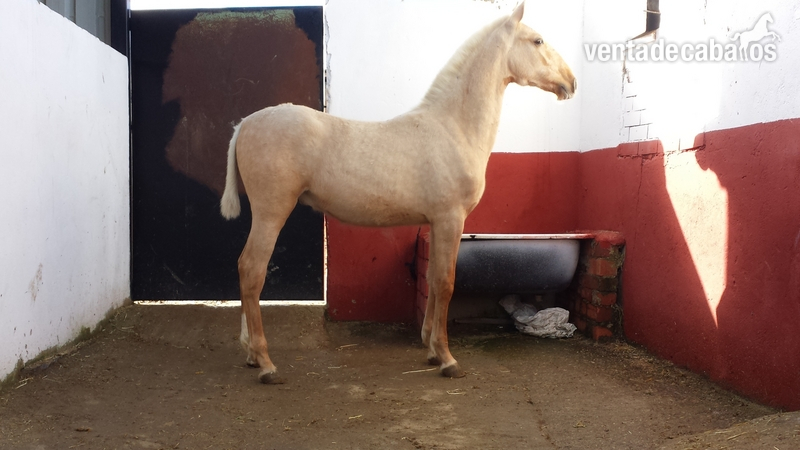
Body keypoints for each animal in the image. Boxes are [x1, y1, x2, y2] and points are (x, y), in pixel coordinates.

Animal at [220, 3, 576, 384]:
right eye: (537, 40)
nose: (571, 82)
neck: (454, 126)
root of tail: (244, 124)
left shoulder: (435, 223)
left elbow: (433, 280)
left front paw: (432, 349)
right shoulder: (451, 219)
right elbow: (446, 282)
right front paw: (447, 359)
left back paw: (251, 355)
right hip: (272, 211)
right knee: (251, 271)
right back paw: (266, 363)